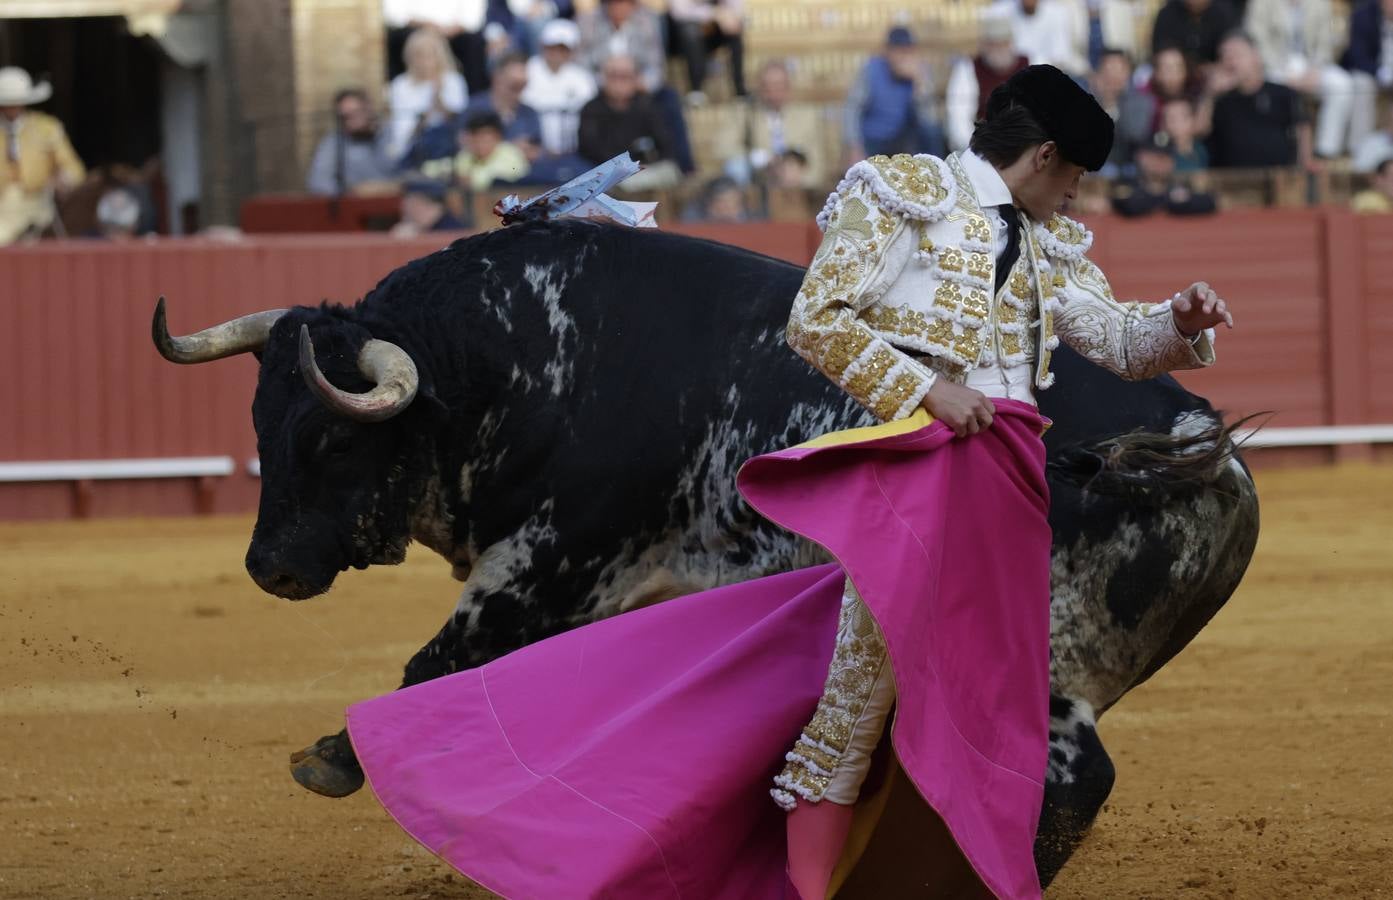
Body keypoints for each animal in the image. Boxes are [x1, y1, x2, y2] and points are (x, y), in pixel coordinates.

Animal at [155, 220, 1264, 886]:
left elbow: (434, 667)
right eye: (262, 425)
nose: (270, 567)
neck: (519, 366)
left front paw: (335, 759)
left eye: (336, 440)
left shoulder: (543, 566)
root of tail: (1189, 439)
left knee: (1070, 777)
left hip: (1039, 655)